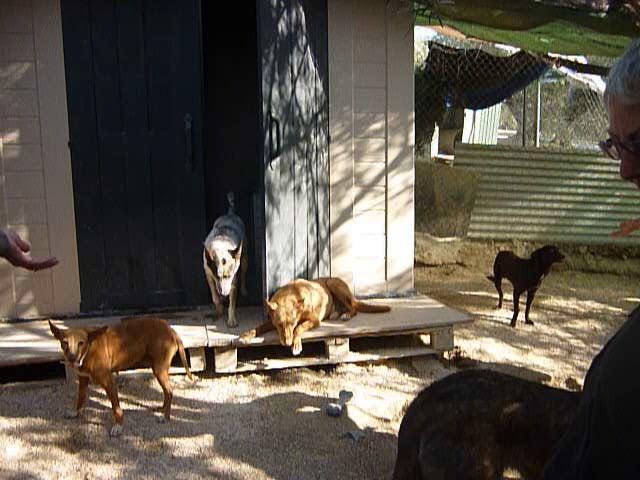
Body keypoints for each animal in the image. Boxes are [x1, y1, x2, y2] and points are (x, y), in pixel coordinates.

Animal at [48, 316, 192, 436]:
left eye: (81, 343)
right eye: (65, 343)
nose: (72, 358)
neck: (89, 349)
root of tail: (171, 329)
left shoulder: (109, 382)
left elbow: (116, 408)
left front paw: (118, 426)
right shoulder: (83, 379)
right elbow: (80, 398)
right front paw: (76, 412)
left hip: (159, 369)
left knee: (169, 391)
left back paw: (166, 417)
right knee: (167, 392)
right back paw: (162, 408)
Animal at [202, 191, 248, 326]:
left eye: (229, 275)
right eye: (217, 276)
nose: (224, 293)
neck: (221, 246)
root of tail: (230, 214)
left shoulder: (233, 279)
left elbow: (232, 302)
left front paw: (231, 319)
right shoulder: (208, 273)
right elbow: (214, 294)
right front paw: (219, 307)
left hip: (244, 258)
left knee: (243, 272)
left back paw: (243, 290)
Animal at [239, 278, 390, 356]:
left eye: (292, 323)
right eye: (280, 324)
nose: (287, 343)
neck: (291, 294)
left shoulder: (314, 320)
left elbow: (299, 328)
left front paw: (296, 344)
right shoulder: (271, 322)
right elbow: (257, 328)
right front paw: (246, 335)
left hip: (333, 284)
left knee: (353, 308)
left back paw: (345, 315)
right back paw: (336, 313)